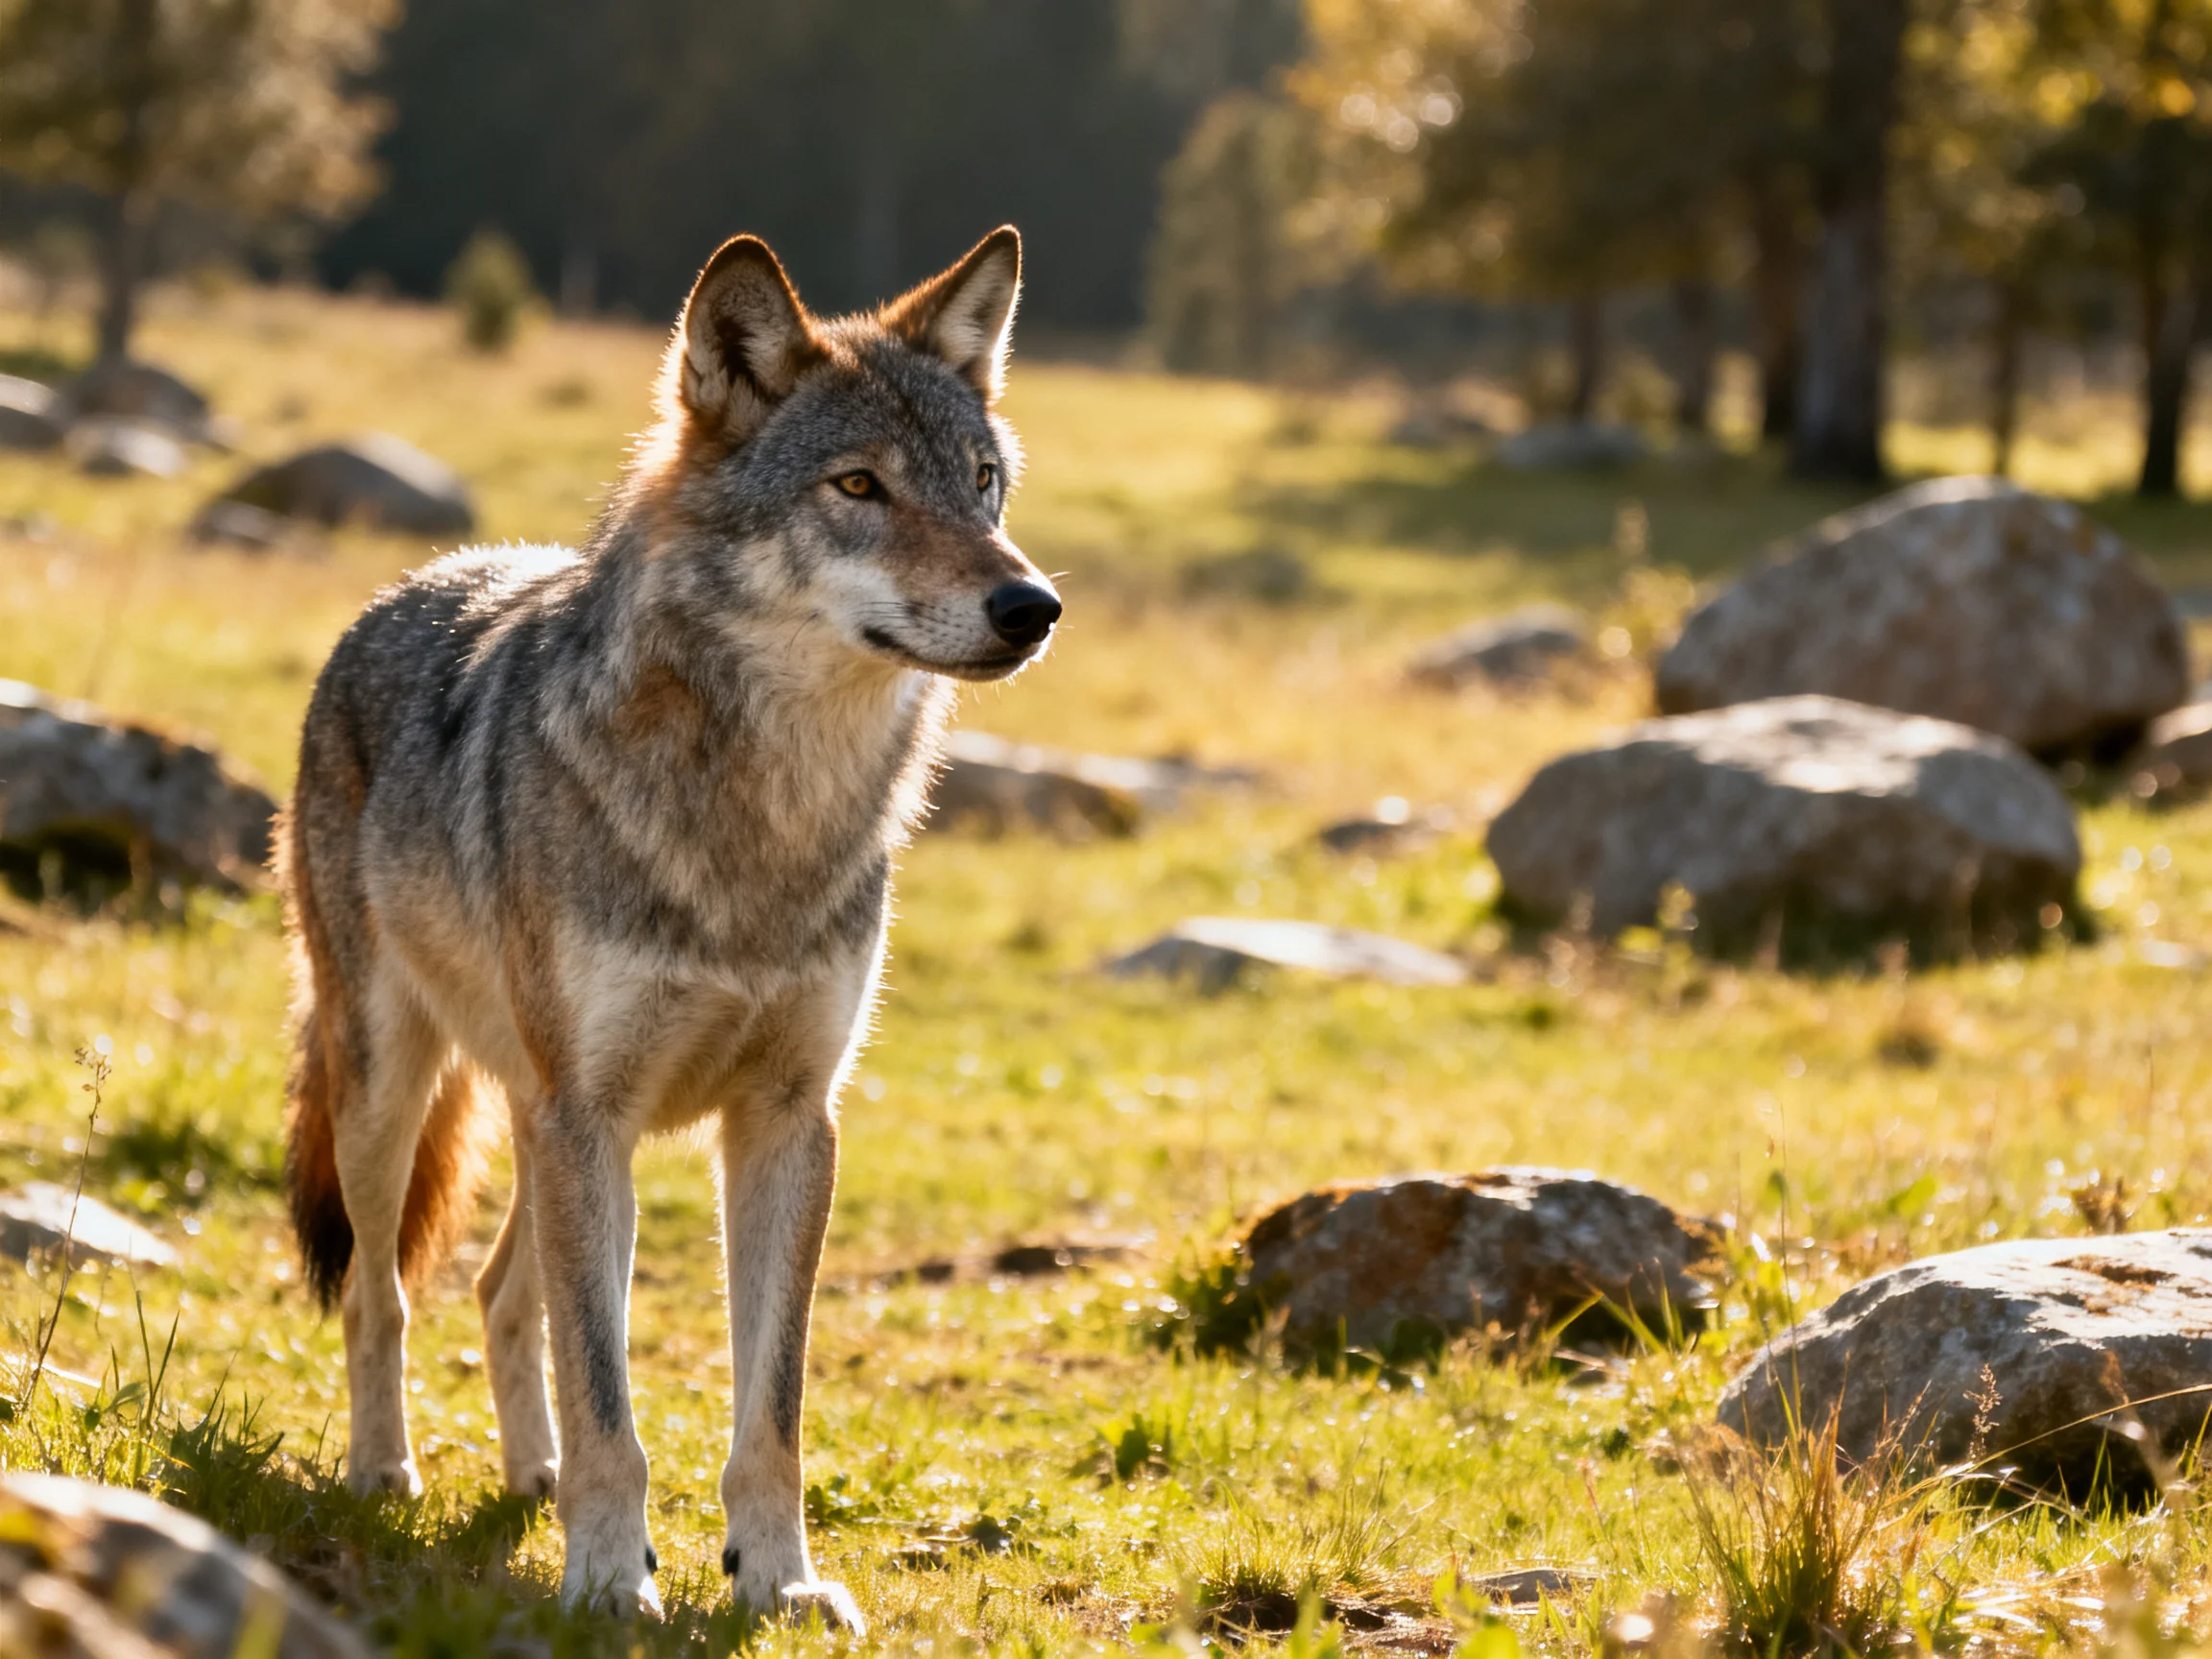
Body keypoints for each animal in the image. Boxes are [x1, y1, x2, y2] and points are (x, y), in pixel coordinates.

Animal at [280, 226, 1057, 1628]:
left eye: (981, 484)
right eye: (858, 486)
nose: (1032, 607)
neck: (765, 818)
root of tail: (410, 586)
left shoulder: (789, 1123)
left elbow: (771, 1411)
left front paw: (779, 1578)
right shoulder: (590, 1114)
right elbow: (608, 1395)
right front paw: (604, 1578)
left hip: (549, 1128)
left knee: (500, 1290)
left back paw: (526, 1477)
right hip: (399, 1096)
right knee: (382, 1293)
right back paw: (386, 1477)